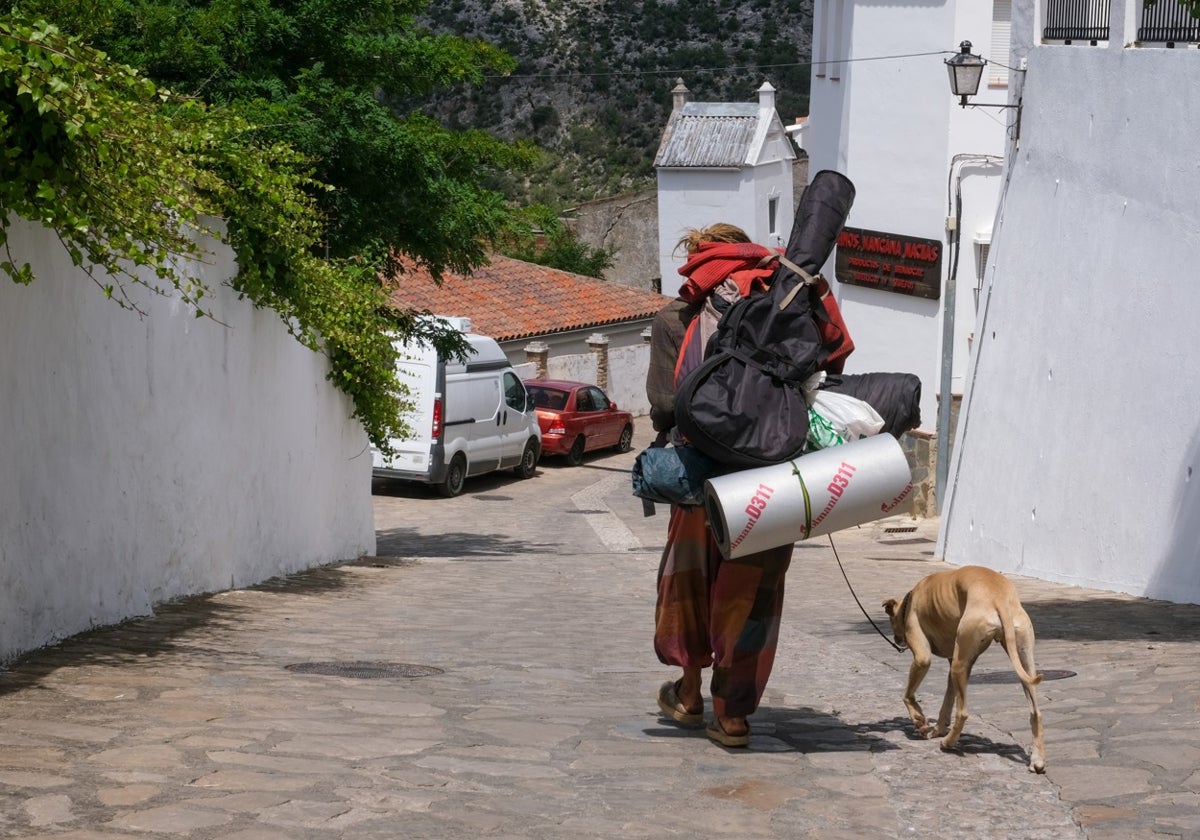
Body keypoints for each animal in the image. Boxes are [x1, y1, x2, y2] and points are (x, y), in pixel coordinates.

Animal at [878, 564, 1046, 772]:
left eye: (891, 620)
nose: (897, 640)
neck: (910, 601)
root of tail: (999, 596)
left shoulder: (923, 657)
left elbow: (907, 694)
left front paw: (919, 719)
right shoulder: (954, 664)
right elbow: (947, 702)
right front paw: (937, 729)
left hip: (960, 663)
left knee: (963, 712)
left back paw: (948, 743)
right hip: (1020, 659)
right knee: (1035, 712)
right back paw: (1037, 759)